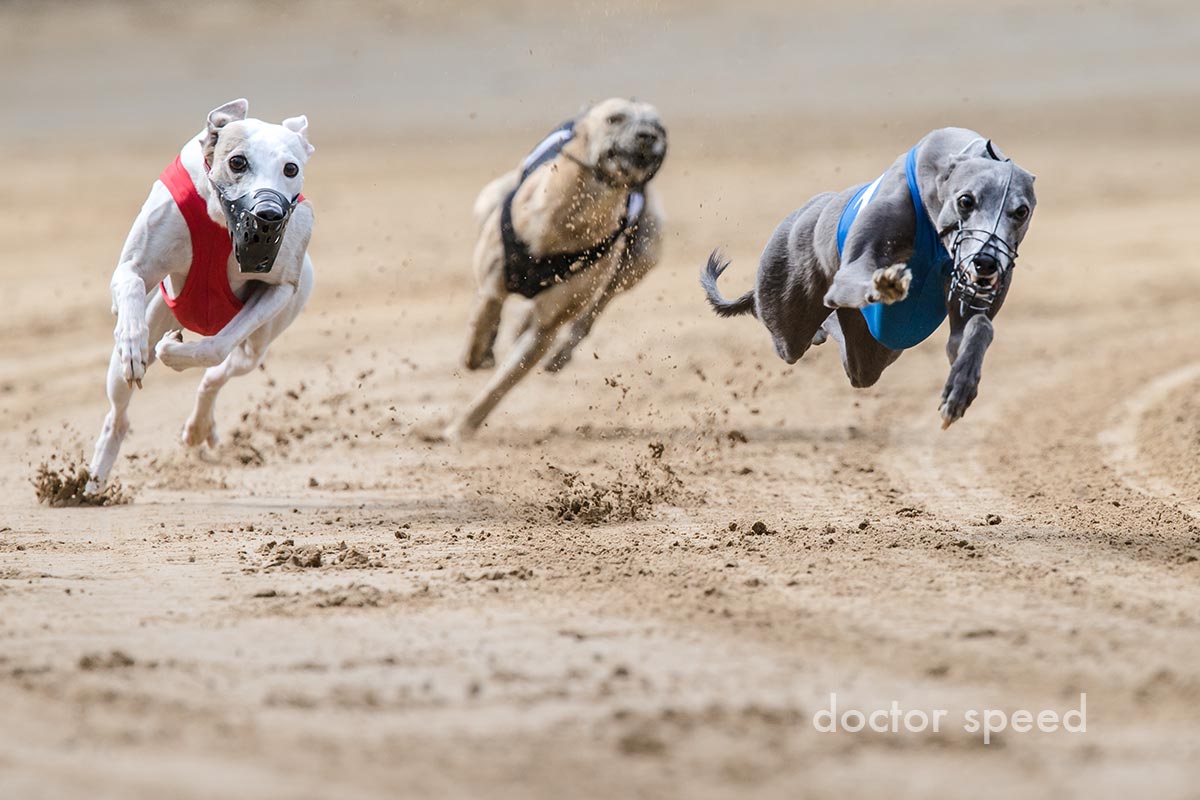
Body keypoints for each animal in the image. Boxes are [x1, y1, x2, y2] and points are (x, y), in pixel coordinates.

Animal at [86, 99, 316, 494]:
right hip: (150, 328)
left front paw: (173, 353)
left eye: (291, 168)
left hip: (257, 347)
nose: (268, 214)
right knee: (119, 414)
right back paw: (93, 480)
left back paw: (198, 427)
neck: (220, 219)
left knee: (217, 374)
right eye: (237, 161)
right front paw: (131, 342)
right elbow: (130, 283)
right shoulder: (132, 267)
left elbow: (214, 348)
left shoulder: (279, 288)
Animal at [445, 98, 667, 440]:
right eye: (614, 118)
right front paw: (481, 353)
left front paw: (462, 428)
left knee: (595, 309)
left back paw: (561, 352)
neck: (571, 220)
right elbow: (482, 323)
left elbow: (502, 383)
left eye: (660, 127)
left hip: (642, 256)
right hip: (488, 199)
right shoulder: (493, 284)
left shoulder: (546, 329)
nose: (649, 135)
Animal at [702, 127, 1036, 428]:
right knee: (796, 336)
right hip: (790, 321)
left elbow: (978, 327)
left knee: (855, 362)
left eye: (1021, 211)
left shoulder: (965, 316)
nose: (986, 262)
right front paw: (887, 283)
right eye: (966, 200)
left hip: (875, 351)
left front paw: (960, 388)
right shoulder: (853, 270)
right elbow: (862, 277)